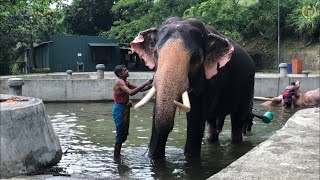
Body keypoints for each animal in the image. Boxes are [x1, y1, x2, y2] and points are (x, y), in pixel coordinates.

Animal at [130, 16, 255, 158]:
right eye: (156, 53)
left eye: (196, 57)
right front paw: (153, 157)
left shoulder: (207, 81)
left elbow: (195, 119)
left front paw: (190, 158)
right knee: (212, 123)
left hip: (247, 88)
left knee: (237, 121)